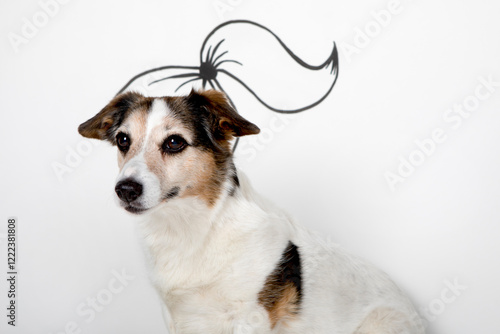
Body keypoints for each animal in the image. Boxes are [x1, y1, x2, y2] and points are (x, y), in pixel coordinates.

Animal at [80, 88, 424, 334]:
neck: (195, 227)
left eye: (174, 142)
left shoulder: (250, 318)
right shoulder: (176, 317)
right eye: (123, 140)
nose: (125, 189)